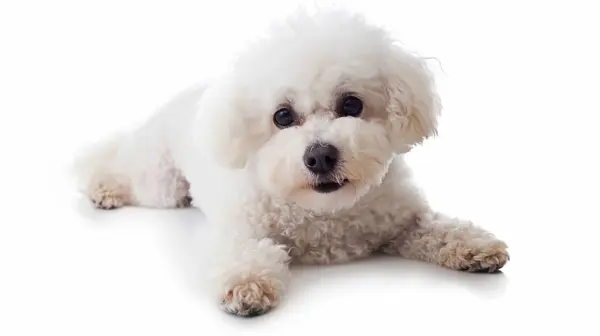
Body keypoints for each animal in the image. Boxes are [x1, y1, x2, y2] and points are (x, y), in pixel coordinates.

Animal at [72, 8, 508, 318]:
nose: (320, 155)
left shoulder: (401, 220)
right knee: (121, 166)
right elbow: (245, 254)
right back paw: (104, 188)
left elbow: (438, 227)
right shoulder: (243, 227)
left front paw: (475, 246)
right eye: (282, 116)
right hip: (162, 184)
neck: (325, 212)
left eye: (351, 104)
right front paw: (248, 285)